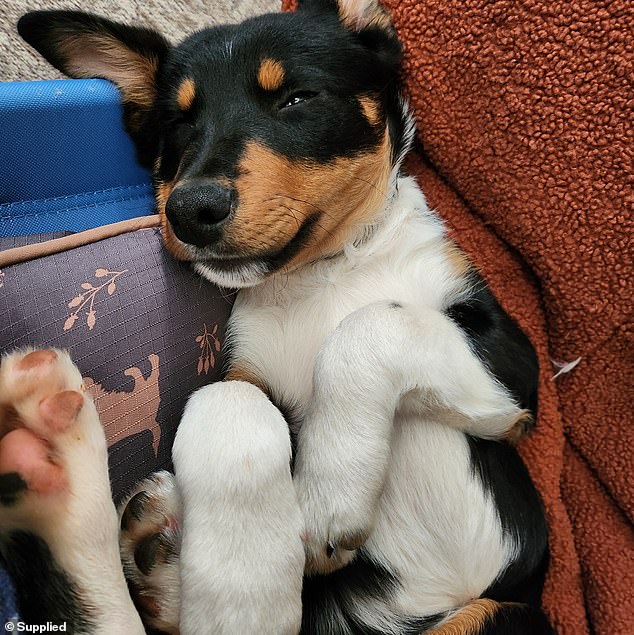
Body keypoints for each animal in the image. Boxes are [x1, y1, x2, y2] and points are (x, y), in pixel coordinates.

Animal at [1, 0, 548, 632]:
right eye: (178, 124)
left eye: (296, 99)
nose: (190, 210)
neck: (325, 270)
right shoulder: (244, 366)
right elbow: (229, 399)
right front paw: (244, 589)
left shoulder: (514, 378)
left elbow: (372, 323)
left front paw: (329, 492)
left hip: (497, 611)